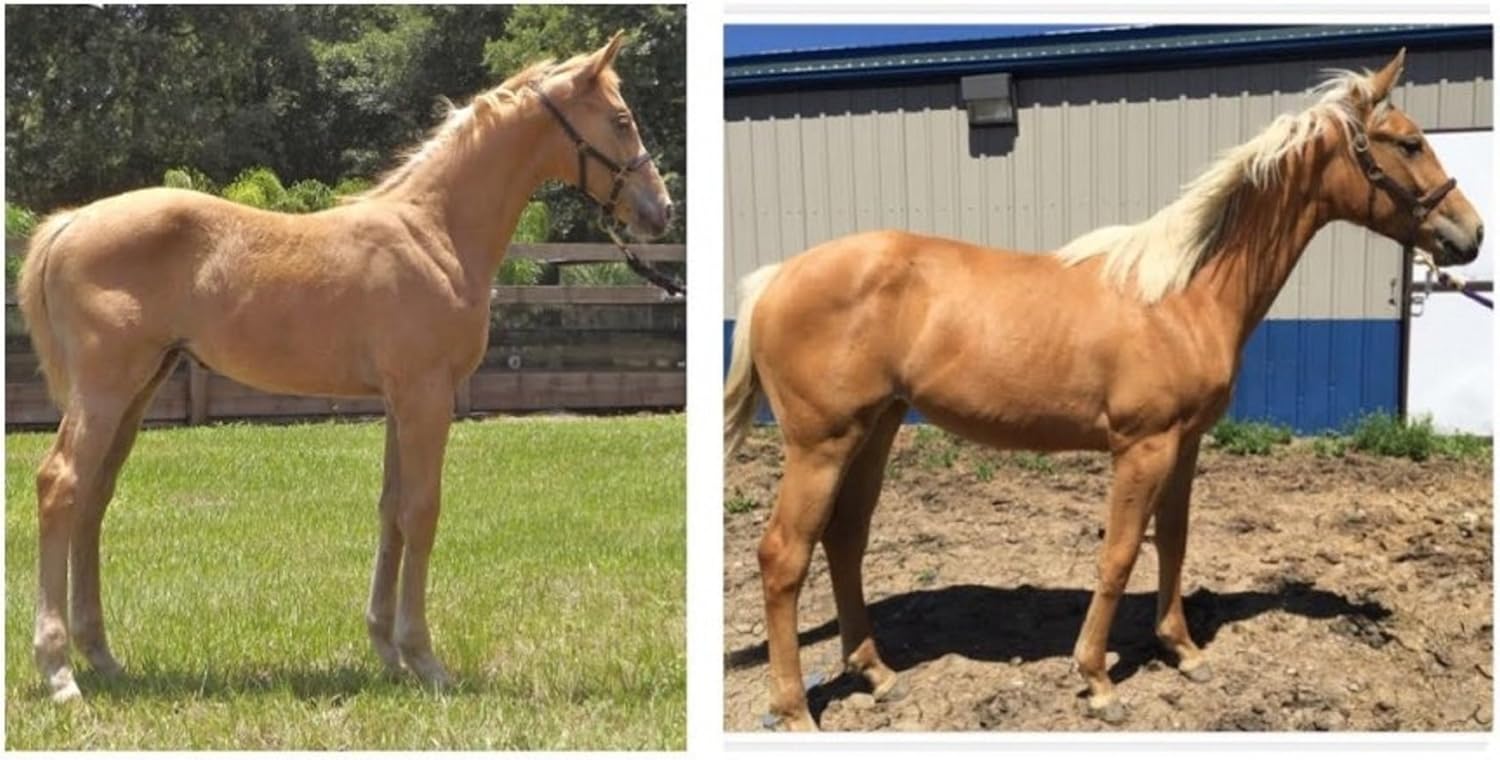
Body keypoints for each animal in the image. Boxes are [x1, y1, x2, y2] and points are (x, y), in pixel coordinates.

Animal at [18, 31, 673, 704]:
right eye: (621, 119)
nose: (662, 211)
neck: (434, 233)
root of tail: (70, 222)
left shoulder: (399, 399)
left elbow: (391, 509)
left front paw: (387, 652)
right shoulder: (426, 394)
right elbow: (421, 511)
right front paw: (425, 660)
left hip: (138, 389)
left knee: (94, 497)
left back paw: (102, 658)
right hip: (105, 388)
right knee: (60, 485)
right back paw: (59, 671)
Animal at [723, 50, 1482, 731]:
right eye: (1409, 141)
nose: (1470, 235)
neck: (1183, 294)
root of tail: (775, 278)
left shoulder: (1185, 443)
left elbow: (1172, 539)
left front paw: (1182, 649)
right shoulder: (1141, 447)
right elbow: (1119, 553)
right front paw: (1096, 679)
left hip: (876, 429)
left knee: (845, 540)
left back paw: (878, 675)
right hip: (821, 443)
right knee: (783, 555)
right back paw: (794, 711)